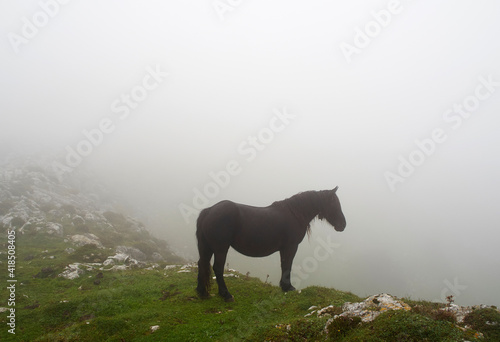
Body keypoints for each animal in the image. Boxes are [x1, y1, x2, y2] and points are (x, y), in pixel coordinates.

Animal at [196, 187, 348, 302]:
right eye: (334, 203)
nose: (343, 225)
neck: (295, 214)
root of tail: (209, 210)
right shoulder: (291, 247)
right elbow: (287, 265)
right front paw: (288, 287)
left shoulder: (284, 249)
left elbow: (284, 265)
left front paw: (284, 286)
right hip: (221, 249)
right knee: (217, 268)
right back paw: (226, 294)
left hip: (206, 247)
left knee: (202, 263)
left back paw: (202, 292)